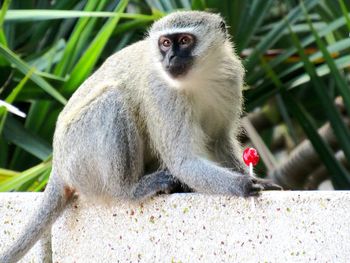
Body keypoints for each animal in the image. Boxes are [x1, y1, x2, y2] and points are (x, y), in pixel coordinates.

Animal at [0, 10, 280, 263]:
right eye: (165, 43)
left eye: (184, 41)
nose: (170, 57)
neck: (199, 77)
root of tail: (57, 164)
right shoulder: (163, 93)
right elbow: (184, 162)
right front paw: (243, 185)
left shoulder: (230, 77)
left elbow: (219, 140)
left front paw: (257, 180)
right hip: (78, 157)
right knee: (113, 100)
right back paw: (129, 190)